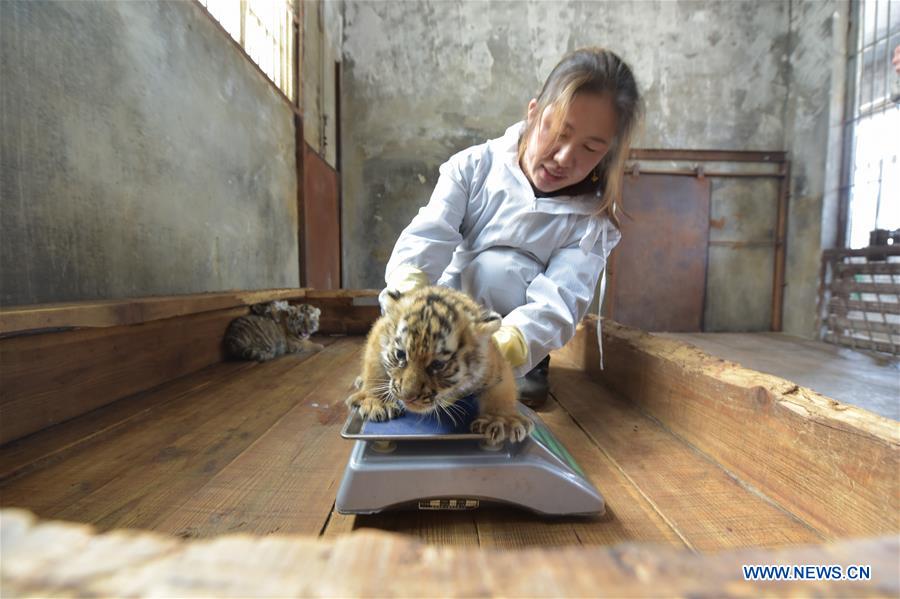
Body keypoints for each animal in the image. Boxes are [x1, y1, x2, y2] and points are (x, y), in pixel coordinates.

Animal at [345, 285, 533, 444]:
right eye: (400, 354)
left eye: (437, 364)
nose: (407, 397)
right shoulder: (379, 333)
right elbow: (374, 368)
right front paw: (376, 402)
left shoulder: (494, 364)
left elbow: (501, 392)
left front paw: (502, 421)